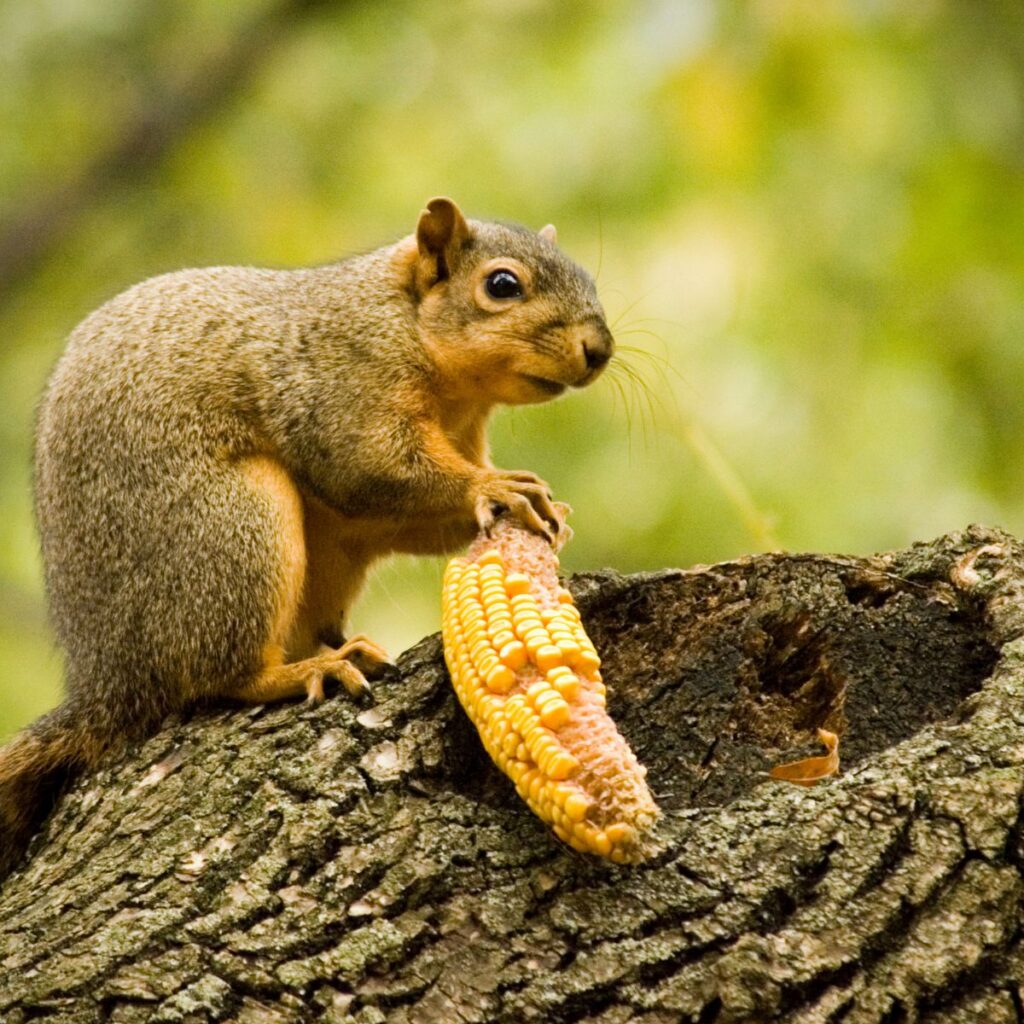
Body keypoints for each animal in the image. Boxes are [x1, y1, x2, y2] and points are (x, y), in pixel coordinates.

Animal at [0, 195, 614, 876]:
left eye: (585, 274)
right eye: (502, 285)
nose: (599, 348)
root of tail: (109, 683)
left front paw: (546, 508)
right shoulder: (341, 389)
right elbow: (372, 469)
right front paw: (493, 487)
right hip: (232, 529)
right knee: (221, 677)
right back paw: (307, 671)